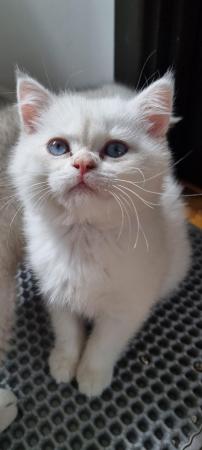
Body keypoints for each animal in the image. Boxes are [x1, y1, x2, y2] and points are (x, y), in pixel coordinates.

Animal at [3, 74, 191, 398]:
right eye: (57, 147)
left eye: (116, 150)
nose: (83, 163)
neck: (84, 238)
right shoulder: (57, 293)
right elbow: (67, 332)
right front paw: (64, 363)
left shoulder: (126, 308)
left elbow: (103, 345)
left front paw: (91, 377)